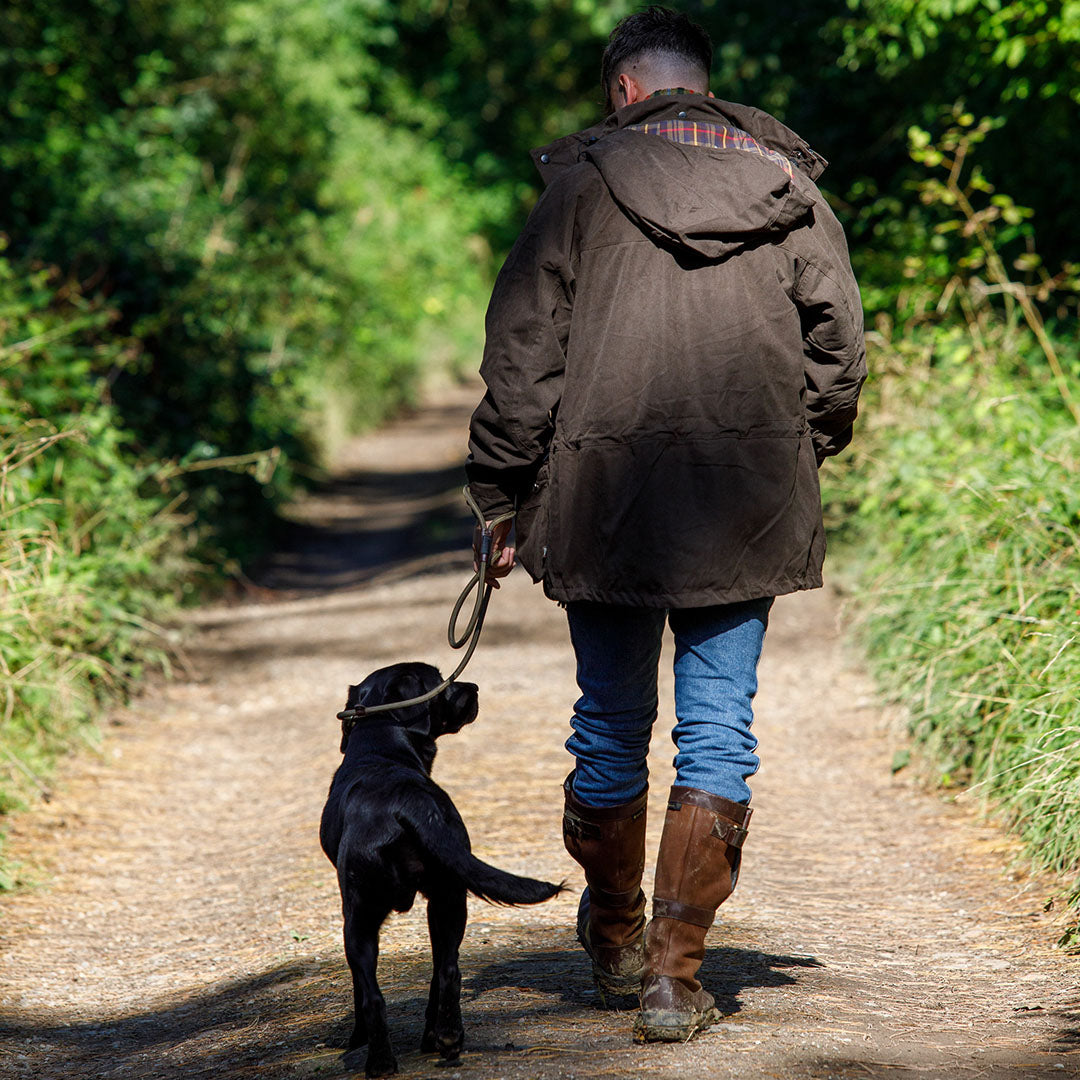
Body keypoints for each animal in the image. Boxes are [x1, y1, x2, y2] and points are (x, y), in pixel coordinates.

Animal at [317, 660, 557, 1075]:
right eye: (441, 682)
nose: (473, 686)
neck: (382, 750)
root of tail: (407, 800)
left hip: (362, 917)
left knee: (375, 994)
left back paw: (383, 1060)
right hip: (447, 900)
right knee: (445, 971)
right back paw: (442, 1038)